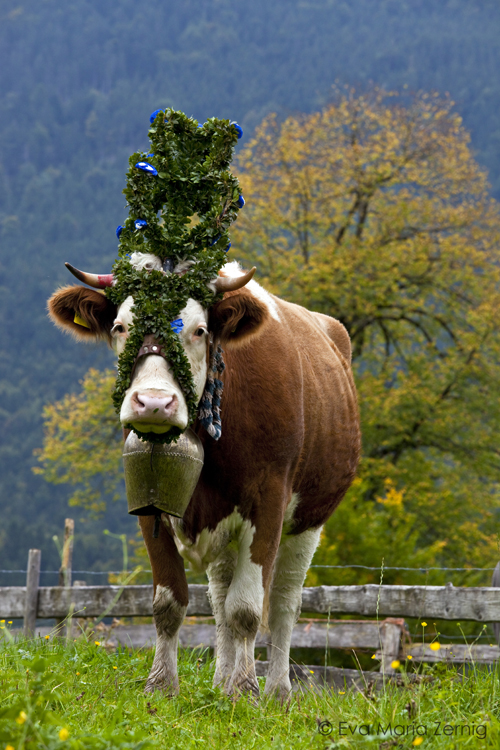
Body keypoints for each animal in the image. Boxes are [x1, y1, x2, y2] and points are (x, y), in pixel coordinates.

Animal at [47, 258, 360, 700]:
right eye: (121, 327)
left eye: (199, 331)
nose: (154, 403)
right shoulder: (148, 500)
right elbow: (171, 603)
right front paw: (162, 685)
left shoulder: (269, 500)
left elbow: (247, 608)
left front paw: (245, 691)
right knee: (220, 599)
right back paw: (219, 681)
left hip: (309, 518)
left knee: (283, 602)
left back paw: (277, 691)